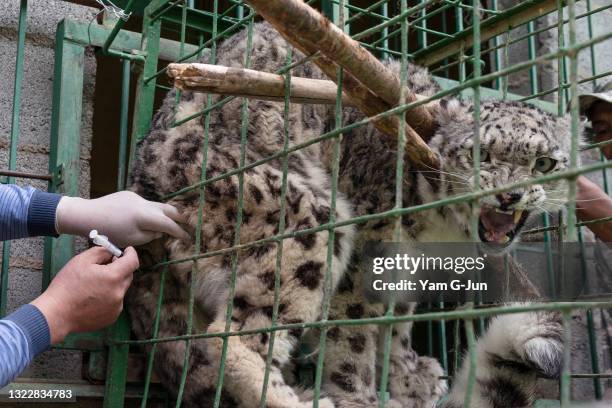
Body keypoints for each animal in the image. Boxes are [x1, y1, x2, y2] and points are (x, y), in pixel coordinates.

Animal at [128, 22, 568, 408]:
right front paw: (359, 396)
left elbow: (397, 322)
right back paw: (302, 400)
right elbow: (352, 336)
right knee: (235, 336)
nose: (509, 196)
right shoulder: (365, 258)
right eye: (481, 154)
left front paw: (411, 378)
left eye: (544, 163)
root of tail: (140, 185)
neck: (438, 227)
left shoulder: (405, 265)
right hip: (301, 214)